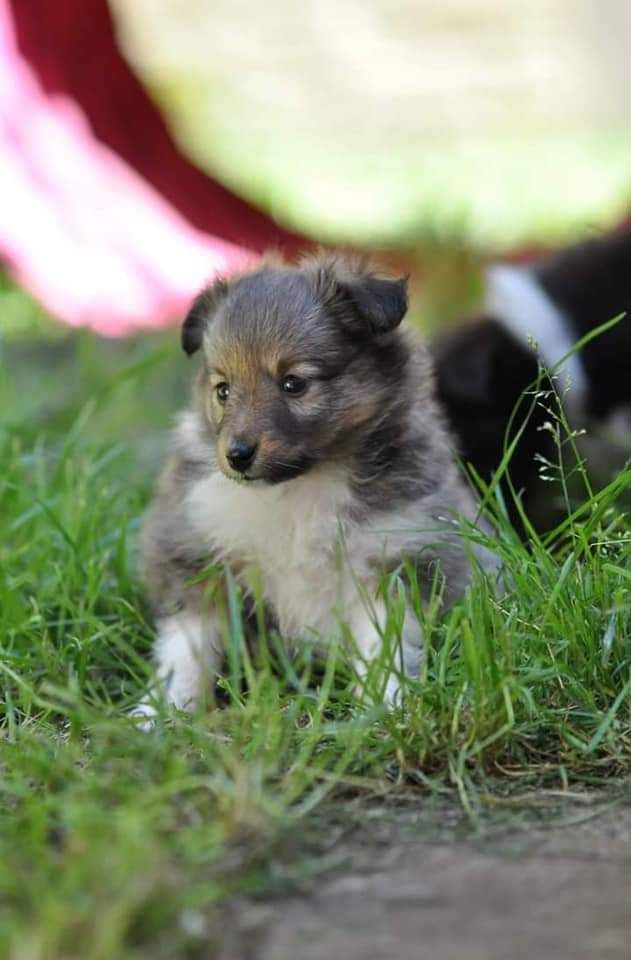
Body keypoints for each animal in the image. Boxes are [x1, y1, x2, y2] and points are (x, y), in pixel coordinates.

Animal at [136, 251, 496, 716]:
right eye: (223, 389)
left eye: (294, 383)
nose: (237, 456)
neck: (295, 488)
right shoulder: (196, 554)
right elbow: (186, 651)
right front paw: (157, 714)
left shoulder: (395, 558)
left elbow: (386, 647)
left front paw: (385, 709)